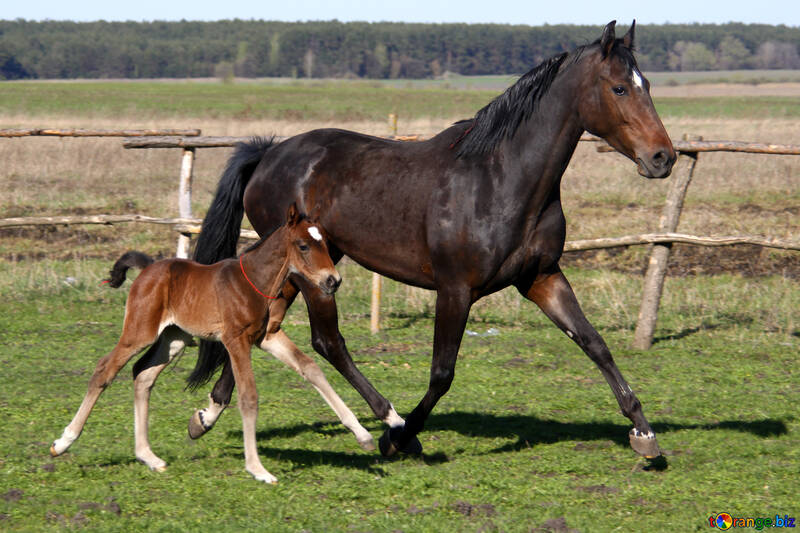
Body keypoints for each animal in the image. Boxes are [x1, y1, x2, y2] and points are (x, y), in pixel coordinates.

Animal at [50, 205, 376, 486]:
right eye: (303, 245)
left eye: (326, 244)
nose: (333, 281)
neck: (255, 282)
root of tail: (147, 268)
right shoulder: (235, 340)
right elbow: (248, 396)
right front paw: (257, 469)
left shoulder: (266, 337)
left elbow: (311, 368)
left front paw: (363, 436)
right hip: (139, 332)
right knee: (105, 369)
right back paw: (63, 442)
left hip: (174, 338)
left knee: (142, 374)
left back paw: (149, 457)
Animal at [188, 21, 676, 458]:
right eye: (619, 88)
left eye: (648, 84)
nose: (662, 158)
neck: (500, 179)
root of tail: (269, 154)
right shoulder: (456, 289)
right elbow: (442, 372)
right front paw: (401, 438)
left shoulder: (542, 278)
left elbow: (595, 344)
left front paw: (644, 435)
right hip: (312, 275)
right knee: (327, 341)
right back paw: (386, 418)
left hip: (306, 266)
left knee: (265, 324)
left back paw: (207, 414)